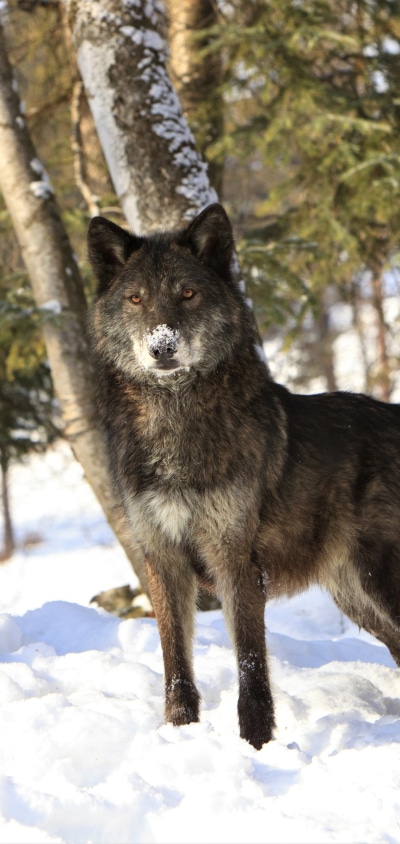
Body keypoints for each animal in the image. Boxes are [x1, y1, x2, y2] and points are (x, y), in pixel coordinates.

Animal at [88, 203, 400, 750]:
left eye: (188, 294)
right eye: (136, 298)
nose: (162, 346)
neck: (176, 423)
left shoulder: (234, 560)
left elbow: (251, 667)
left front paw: (256, 747)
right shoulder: (163, 561)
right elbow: (175, 665)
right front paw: (180, 734)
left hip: (379, 581)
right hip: (357, 596)